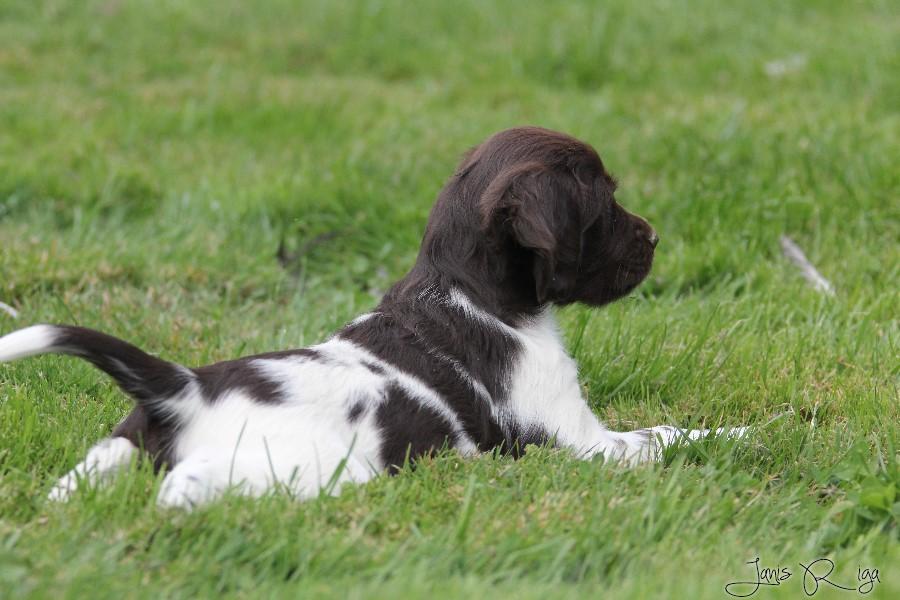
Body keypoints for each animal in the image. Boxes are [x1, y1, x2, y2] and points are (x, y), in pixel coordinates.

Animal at [0, 127, 744, 508]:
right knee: (188, 485)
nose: (655, 239)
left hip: (115, 446)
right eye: (605, 205)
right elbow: (666, 435)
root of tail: (185, 387)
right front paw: (736, 435)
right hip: (304, 468)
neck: (465, 288)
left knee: (83, 477)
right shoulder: (578, 443)